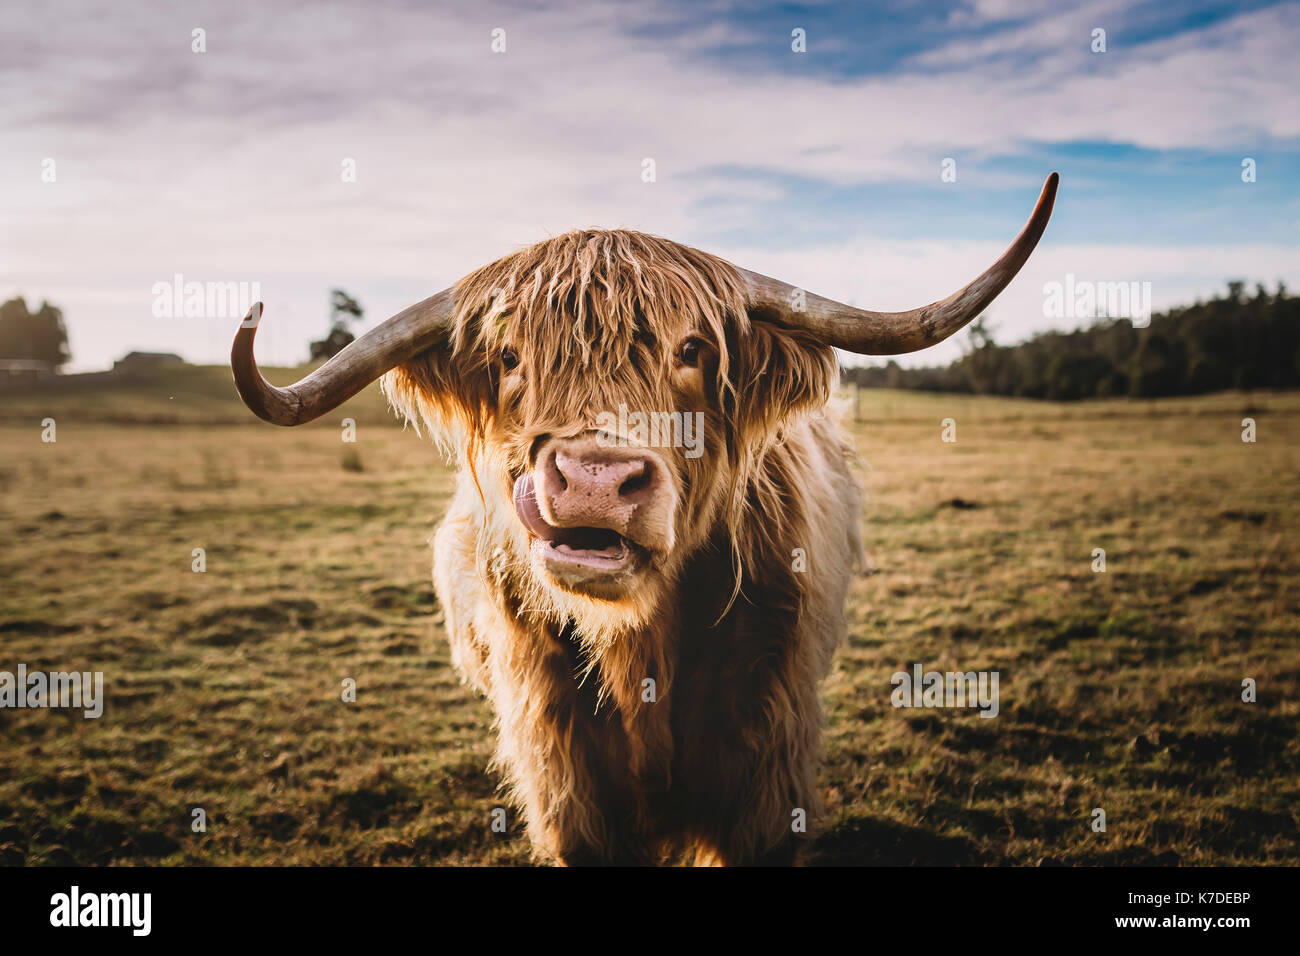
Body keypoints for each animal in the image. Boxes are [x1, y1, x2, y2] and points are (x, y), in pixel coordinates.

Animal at [231, 173, 1058, 865]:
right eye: (507, 358)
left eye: (691, 348)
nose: (593, 481)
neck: (640, 651)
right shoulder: (570, 789)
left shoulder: (763, 778)